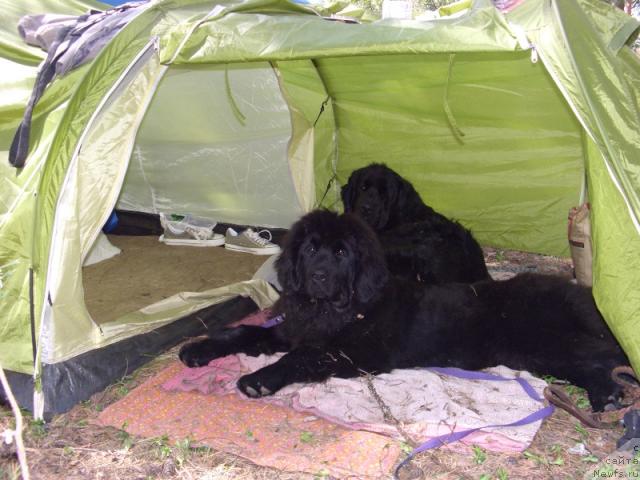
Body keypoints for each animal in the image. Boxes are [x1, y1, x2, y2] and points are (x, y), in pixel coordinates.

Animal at [181, 211, 632, 412]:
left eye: (341, 253)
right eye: (310, 249)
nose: (320, 277)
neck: (340, 308)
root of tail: (583, 295)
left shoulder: (352, 354)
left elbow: (300, 357)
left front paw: (259, 379)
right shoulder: (296, 327)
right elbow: (245, 333)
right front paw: (198, 349)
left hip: (548, 339)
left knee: (603, 359)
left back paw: (606, 396)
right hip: (536, 352)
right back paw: (606, 397)